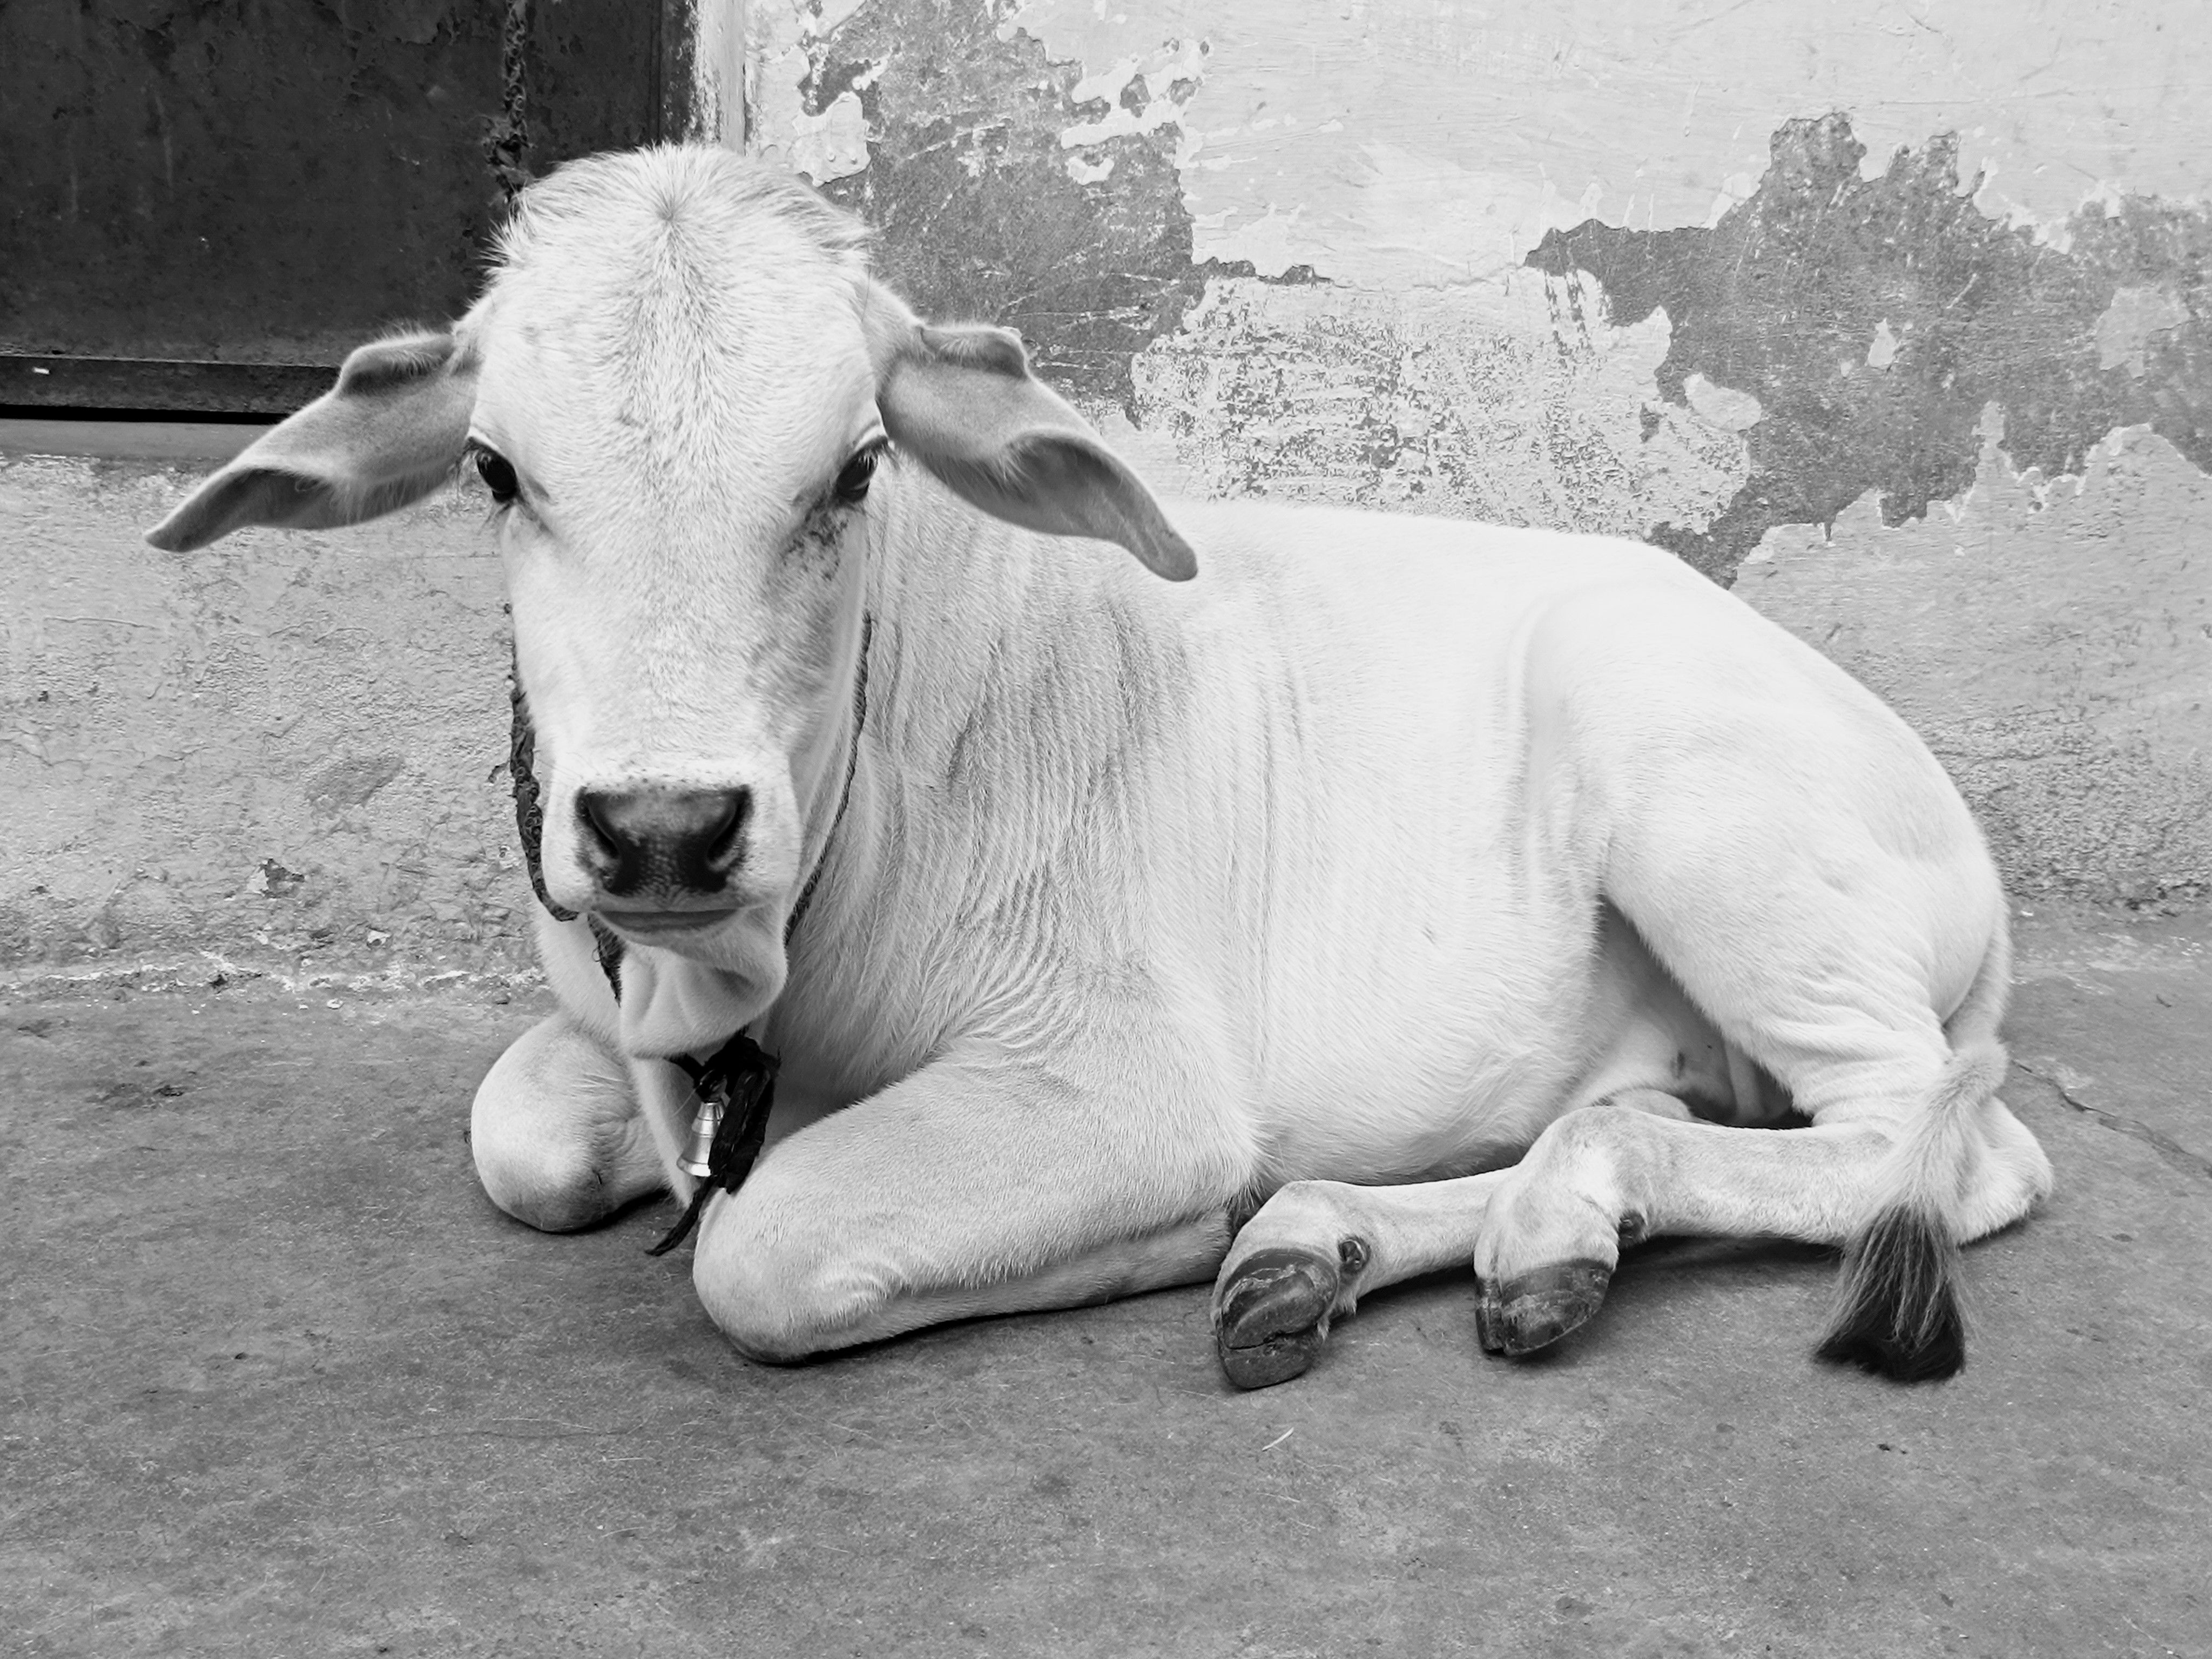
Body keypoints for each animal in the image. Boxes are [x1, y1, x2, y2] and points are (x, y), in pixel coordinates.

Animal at [147, 145, 2052, 1389]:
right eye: (493, 470)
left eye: (855, 470)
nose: (667, 830)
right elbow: (524, 1133)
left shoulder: (1125, 1079)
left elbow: (765, 1249)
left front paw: (1164, 1233)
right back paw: (1369, 1247)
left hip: (1720, 826)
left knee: (1942, 1153)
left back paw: (1486, 1223)